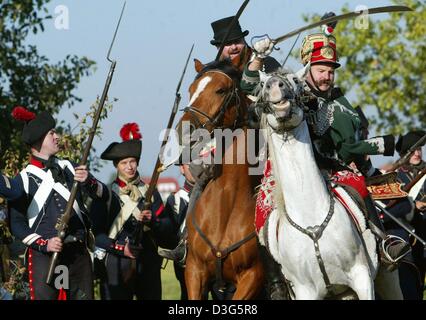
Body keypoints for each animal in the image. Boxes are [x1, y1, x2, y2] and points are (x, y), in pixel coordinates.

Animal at [256, 66, 402, 298]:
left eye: (295, 80)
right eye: (263, 84)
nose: (274, 87)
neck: (310, 217)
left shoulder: (361, 277)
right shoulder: (305, 291)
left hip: (387, 280)